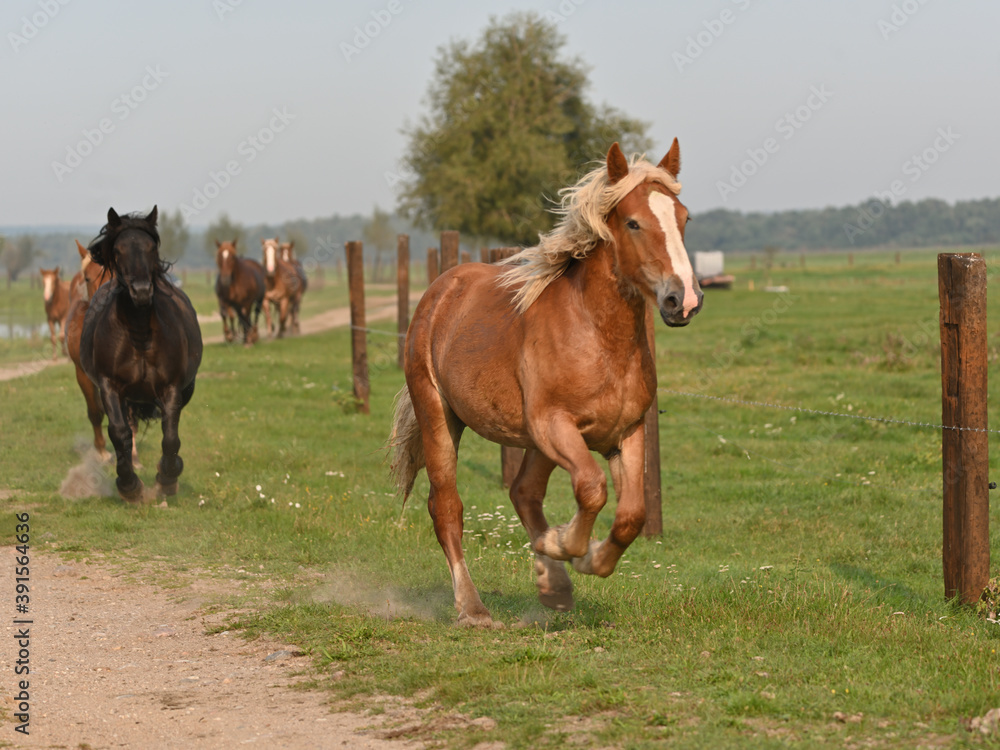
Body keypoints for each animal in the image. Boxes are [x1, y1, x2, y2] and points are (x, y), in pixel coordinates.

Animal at [80, 206, 203, 502]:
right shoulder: (109, 386)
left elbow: (170, 436)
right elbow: (119, 432)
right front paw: (129, 486)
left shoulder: (172, 388)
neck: (139, 334)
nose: (142, 291)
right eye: (119, 250)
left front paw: (167, 479)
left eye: (151, 247)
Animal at [390, 141, 703, 627]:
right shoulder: (555, 425)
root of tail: (439, 291)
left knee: (523, 493)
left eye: (684, 217)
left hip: (534, 444)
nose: (682, 300)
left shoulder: (624, 433)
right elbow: (592, 489)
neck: (596, 335)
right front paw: (564, 544)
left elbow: (631, 515)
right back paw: (473, 607)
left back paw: (552, 585)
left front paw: (584, 557)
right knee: (446, 506)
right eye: (633, 222)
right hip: (440, 416)